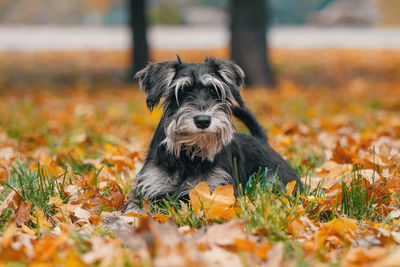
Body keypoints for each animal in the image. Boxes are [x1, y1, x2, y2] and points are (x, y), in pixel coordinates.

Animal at [124, 57, 296, 214]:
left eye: (214, 90)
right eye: (182, 91)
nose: (203, 120)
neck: (189, 155)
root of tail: (262, 142)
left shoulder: (216, 189)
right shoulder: (148, 188)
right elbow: (134, 207)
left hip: (275, 181)